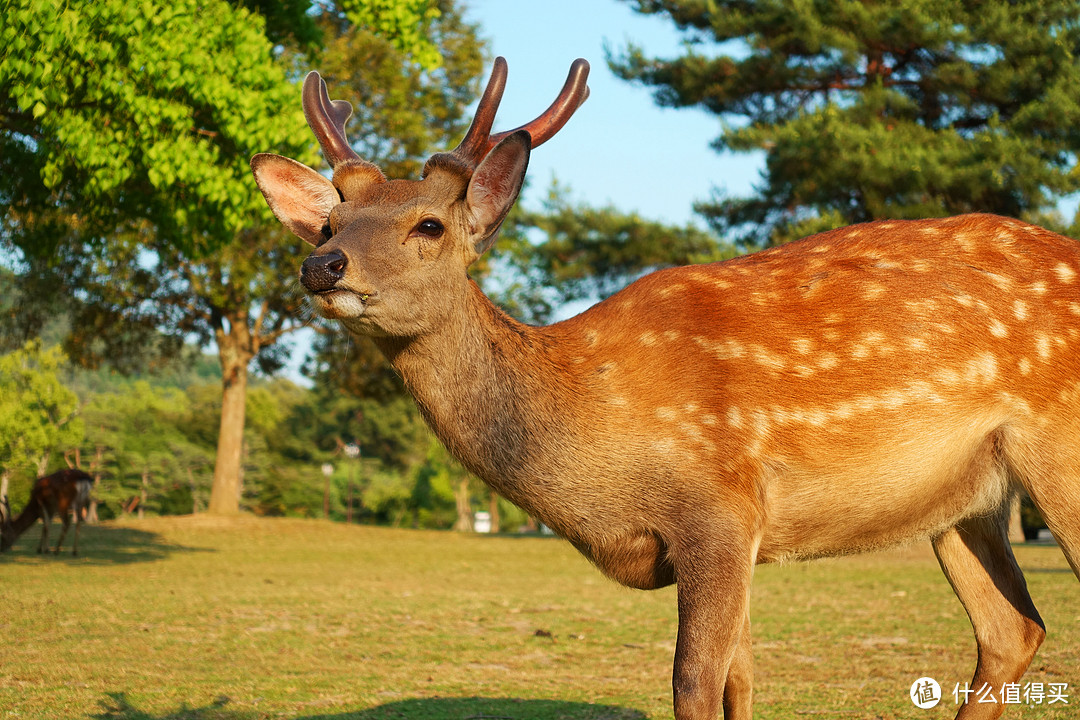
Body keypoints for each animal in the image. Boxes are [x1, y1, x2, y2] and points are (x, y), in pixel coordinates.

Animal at [250, 57, 1080, 720]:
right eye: (329, 223)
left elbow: (694, 683)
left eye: (428, 225)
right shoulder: (729, 539)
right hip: (965, 500)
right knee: (1012, 629)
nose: (322, 266)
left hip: (1059, 451)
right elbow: (741, 681)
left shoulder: (720, 507)